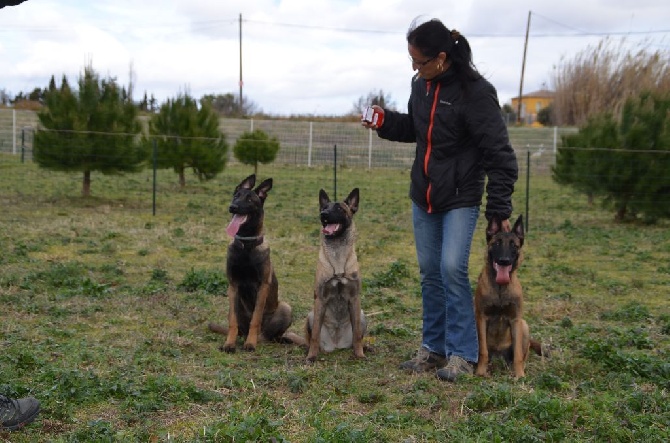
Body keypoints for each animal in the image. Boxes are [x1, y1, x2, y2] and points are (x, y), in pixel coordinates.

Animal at [207, 175, 296, 352]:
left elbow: (256, 318)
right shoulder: (233, 285)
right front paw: (229, 343)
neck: (246, 245)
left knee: (271, 335)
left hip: (285, 307)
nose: (233, 207)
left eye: (249, 200)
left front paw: (250, 343)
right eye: (236, 196)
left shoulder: (262, 286)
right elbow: (232, 321)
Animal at [306, 189, 368, 362]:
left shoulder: (354, 298)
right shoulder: (320, 299)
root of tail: (336, 344)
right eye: (324, 207)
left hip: (362, 315)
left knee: (357, 336)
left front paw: (359, 354)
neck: (338, 256)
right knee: (312, 337)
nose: (323, 215)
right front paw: (311, 356)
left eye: (340, 208)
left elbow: (357, 335)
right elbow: (314, 336)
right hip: (311, 315)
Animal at [476, 215, 548, 378]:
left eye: (514, 245)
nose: (504, 260)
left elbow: (518, 354)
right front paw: (480, 372)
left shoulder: (515, 320)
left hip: (524, 325)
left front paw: (519, 375)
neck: (500, 289)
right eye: (496, 243)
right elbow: (483, 351)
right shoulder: (481, 318)